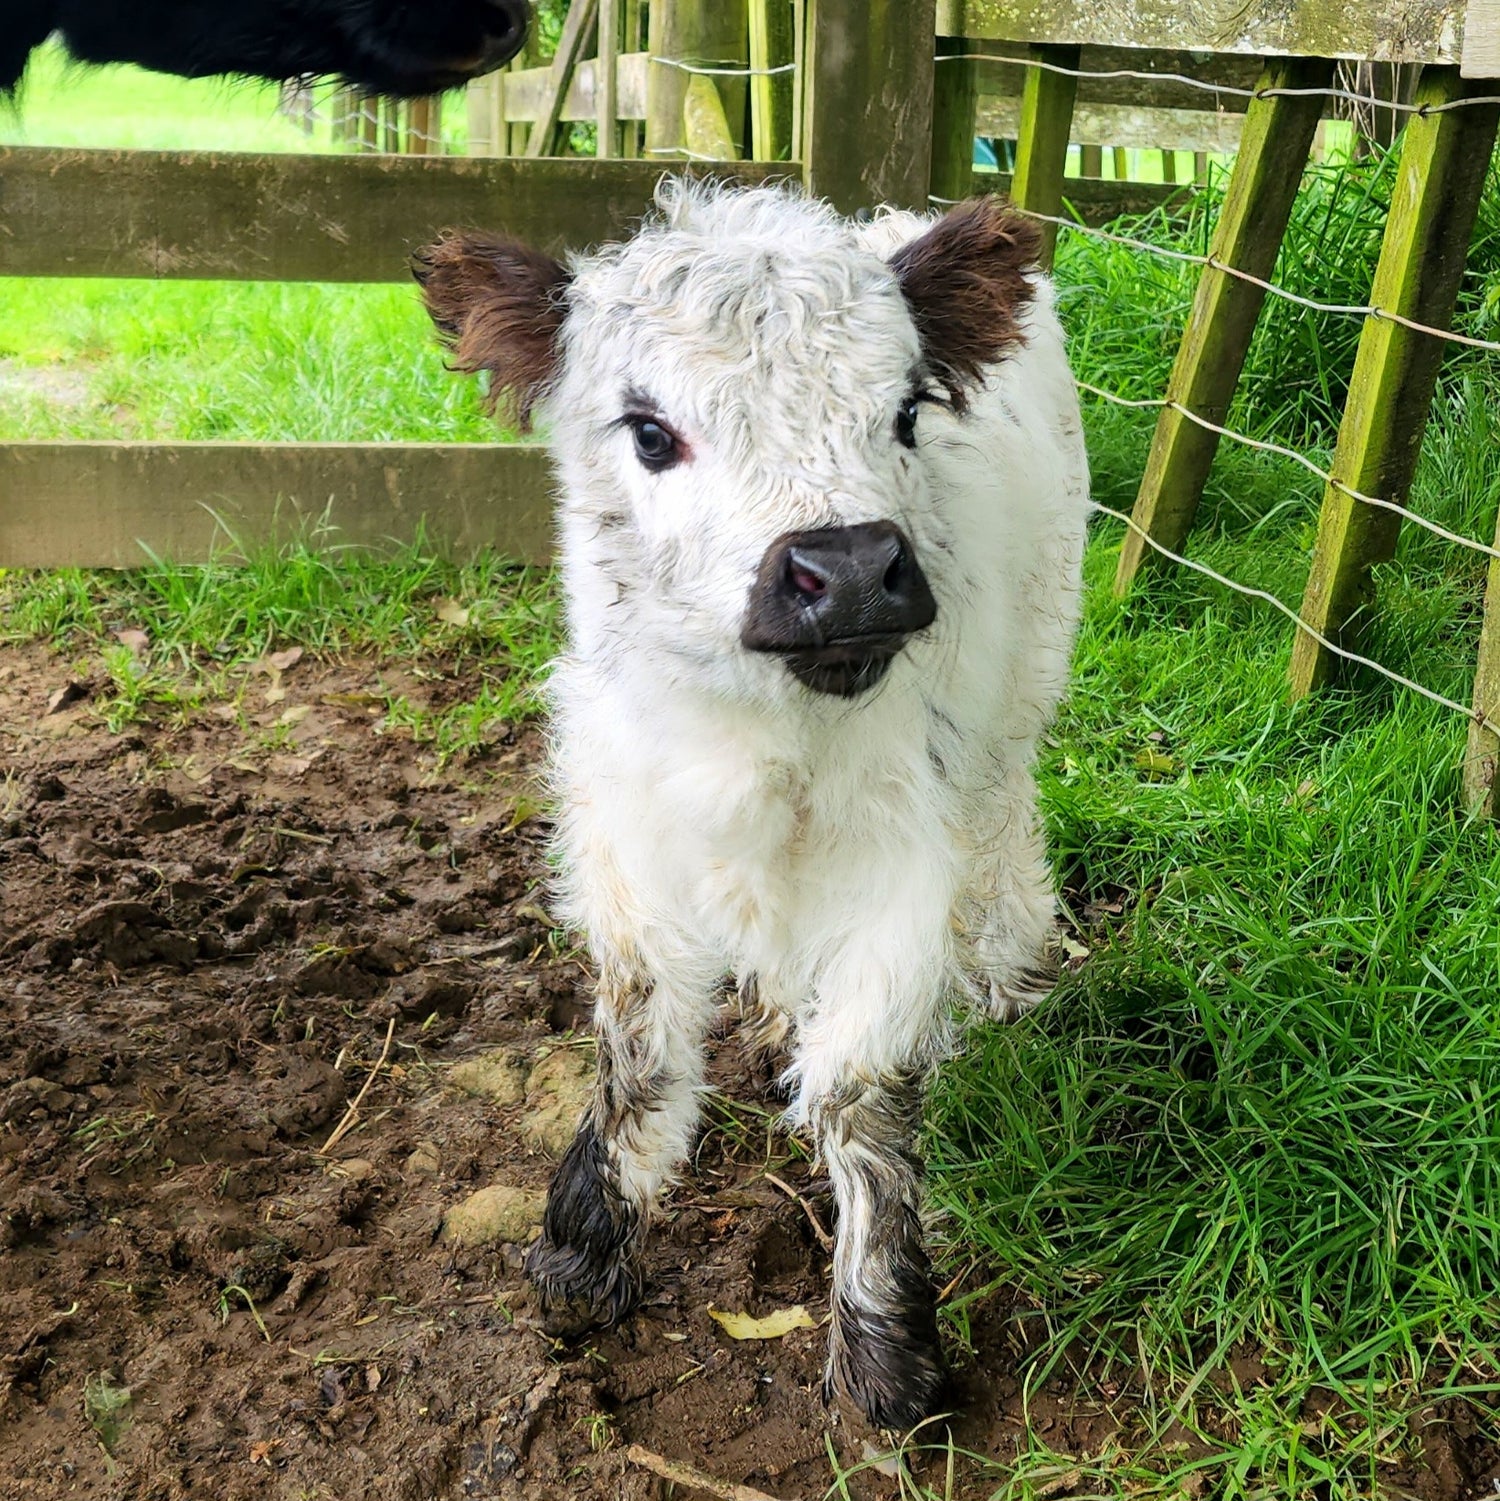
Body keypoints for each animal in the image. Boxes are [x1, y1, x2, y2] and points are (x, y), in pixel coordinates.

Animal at [417, 181, 1087, 1422]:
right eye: (648, 431)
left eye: (908, 411)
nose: (852, 570)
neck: (758, 738)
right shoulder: (627, 824)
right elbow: (639, 1047)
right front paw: (583, 1246)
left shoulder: (901, 859)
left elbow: (861, 1087)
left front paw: (886, 1348)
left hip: (1022, 685)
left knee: (1006, 820)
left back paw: (1012, 974)